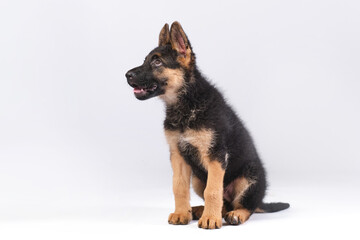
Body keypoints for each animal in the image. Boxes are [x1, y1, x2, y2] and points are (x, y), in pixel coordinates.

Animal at [126, 21, 290, 229]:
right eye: (146, 60)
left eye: (157, 62)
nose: (126, 75)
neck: (186, 102)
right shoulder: (178, 155)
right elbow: (179, 187)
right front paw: (182, 213)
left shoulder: (215, 156)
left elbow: (212, 191)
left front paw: (210, 219)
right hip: (197, 179)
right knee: (224, 203)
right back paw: (198, 210)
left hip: (249, 178)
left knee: (245, 205)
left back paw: (234, 214)